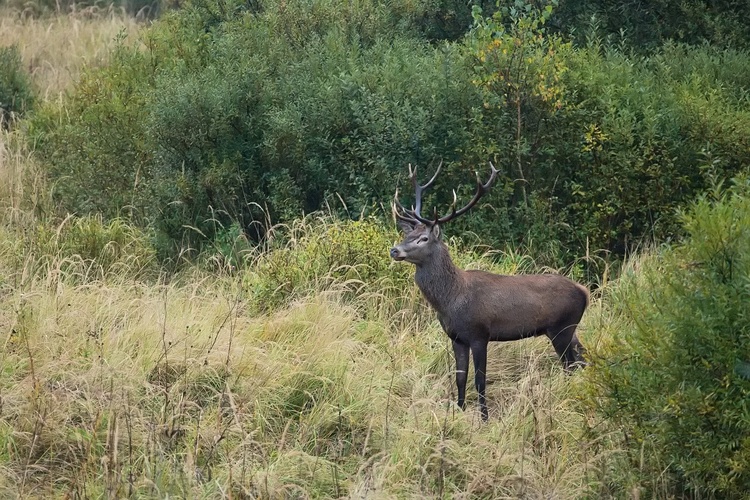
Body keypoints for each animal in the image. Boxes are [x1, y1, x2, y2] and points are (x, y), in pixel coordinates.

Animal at [390, 162, 592, 420]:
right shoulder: (456, 338)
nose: (395, 250)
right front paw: (458, 412)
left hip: (561, 328)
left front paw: (484, 418)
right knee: (582, 359)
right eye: (407, 234)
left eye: (423, 238)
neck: (451, 300)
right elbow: (460, 378)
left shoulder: (479, 334)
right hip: (568, 329)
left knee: (571, 365)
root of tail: (584, 291)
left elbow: (480, 381)